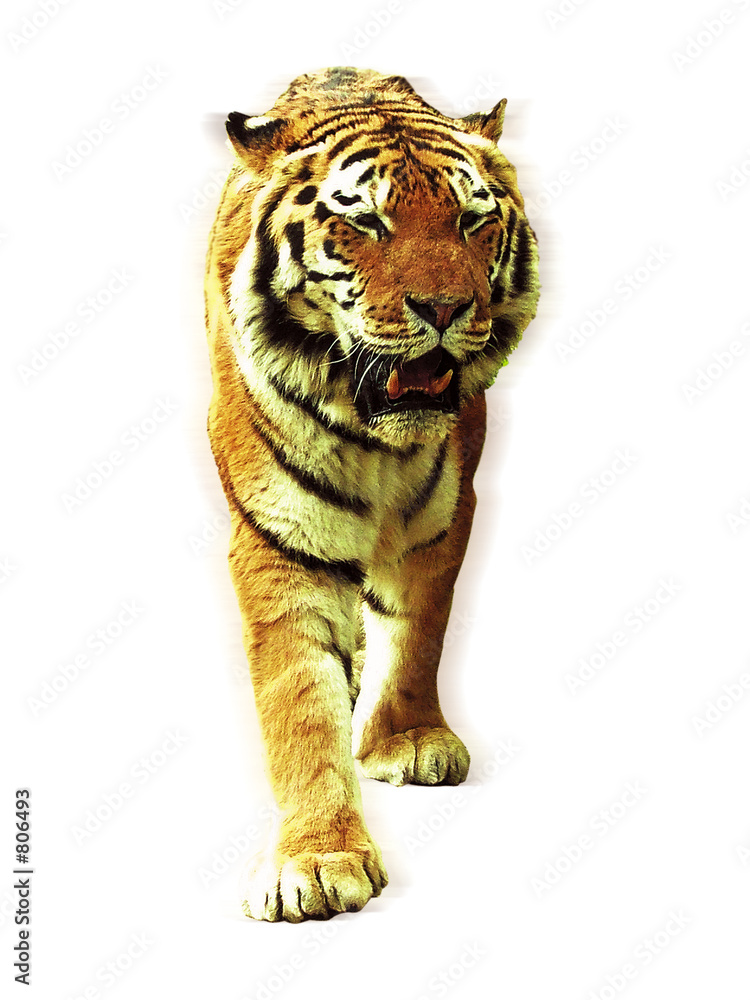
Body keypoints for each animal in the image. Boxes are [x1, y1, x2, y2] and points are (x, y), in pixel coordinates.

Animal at [204, 66, 539, 922]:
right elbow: (299, 696)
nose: (446, 310)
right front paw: (317, 861)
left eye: (471, 222)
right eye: (368, 224)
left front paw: (408, 741)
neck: (375, 440)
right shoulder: (278, 537)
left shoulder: (444, 516)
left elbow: (418, 632)